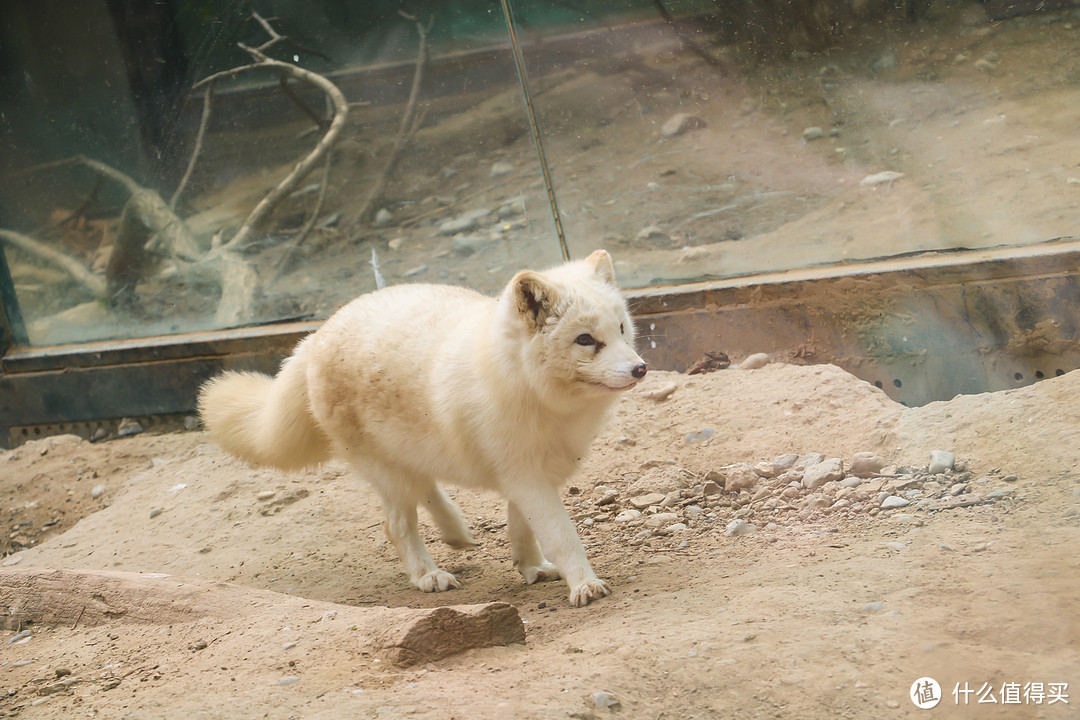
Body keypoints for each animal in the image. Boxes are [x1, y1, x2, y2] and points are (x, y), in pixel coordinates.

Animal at [198, 250, 643, 604]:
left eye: (621, 329)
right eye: (585, 340)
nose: (640, 368)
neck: (535, 392)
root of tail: (314, 335)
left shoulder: (530, 473)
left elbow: (523, 527)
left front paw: (532, 566)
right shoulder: (524, 475)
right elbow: (561, 534)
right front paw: (583, 584)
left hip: (412, 454)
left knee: (426, 486)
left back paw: (456, 533)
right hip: (387, 472)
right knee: (396, 525)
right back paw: (428, 574)